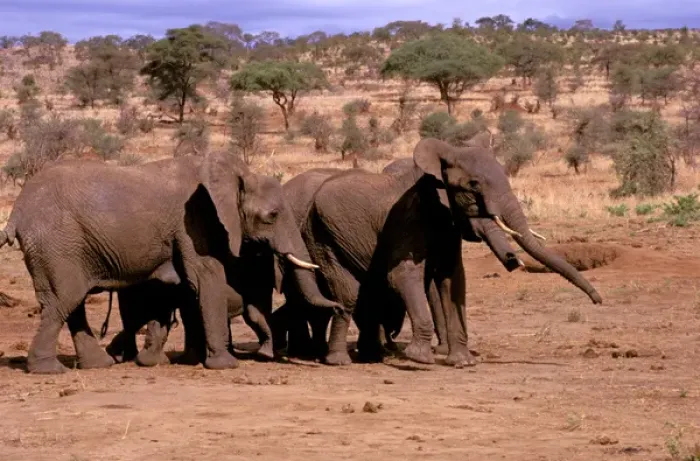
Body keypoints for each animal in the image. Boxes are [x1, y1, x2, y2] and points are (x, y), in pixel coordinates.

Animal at [0, 151, 343, 374]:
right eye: (272, 216)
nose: (339, 306)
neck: (233, 176)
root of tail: (17, 212)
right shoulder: (193, 223)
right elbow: (207, 278)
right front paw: (225, 366)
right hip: (56, 242)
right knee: (64, 299)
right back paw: (49, 370)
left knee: (71, 303)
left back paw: (98, 365)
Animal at [290, 138, 602, 367]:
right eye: (473, 184)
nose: (598, 300)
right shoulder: (408, 216)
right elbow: (402, 275)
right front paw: (420, 359)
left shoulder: (448, 227)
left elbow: (453, 278)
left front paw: (462, 362)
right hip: (320, 235)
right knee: (347, 294)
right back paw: (340, 361)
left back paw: (372, 357)